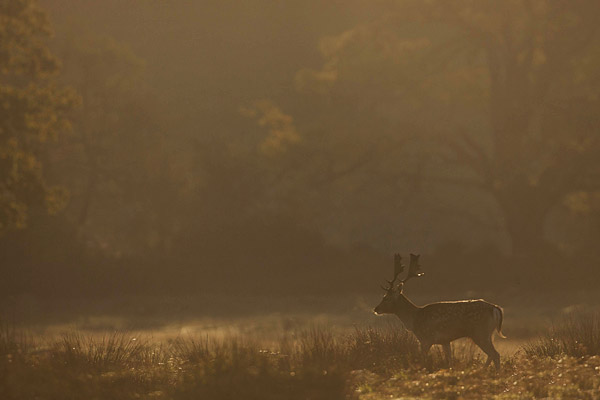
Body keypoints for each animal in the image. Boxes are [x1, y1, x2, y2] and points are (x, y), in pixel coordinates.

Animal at [372, 255, 504, 370]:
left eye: (386, 298)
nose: (376, 309)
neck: (414, 319)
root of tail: (495, 309)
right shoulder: (445, 341)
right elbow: (449, 361)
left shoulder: (426, 338)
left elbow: (423, 359)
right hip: (487, 334)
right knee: (491, 355)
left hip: (480, 332)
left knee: (495, 354)